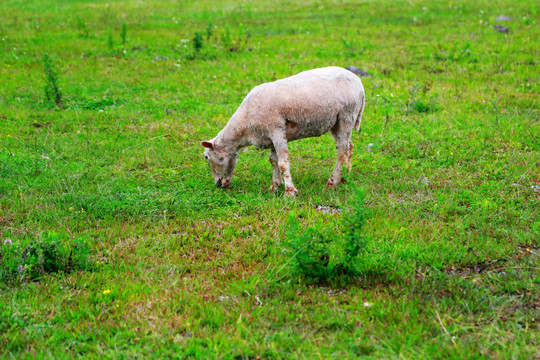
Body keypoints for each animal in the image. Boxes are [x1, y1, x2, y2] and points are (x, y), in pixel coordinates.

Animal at [202, 67, 368, 197]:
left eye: (206, 157)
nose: (218, 184)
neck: (244, 126)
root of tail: (358, 82)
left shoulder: (277, 131)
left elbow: (282, 163)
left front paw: (289, 192)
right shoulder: (270, 137)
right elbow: (273, 160)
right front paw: (275, 186)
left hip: (347, 115)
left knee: (341, 151)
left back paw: (331, 183)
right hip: (334, 122)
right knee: (348, 146)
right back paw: (344, 177)